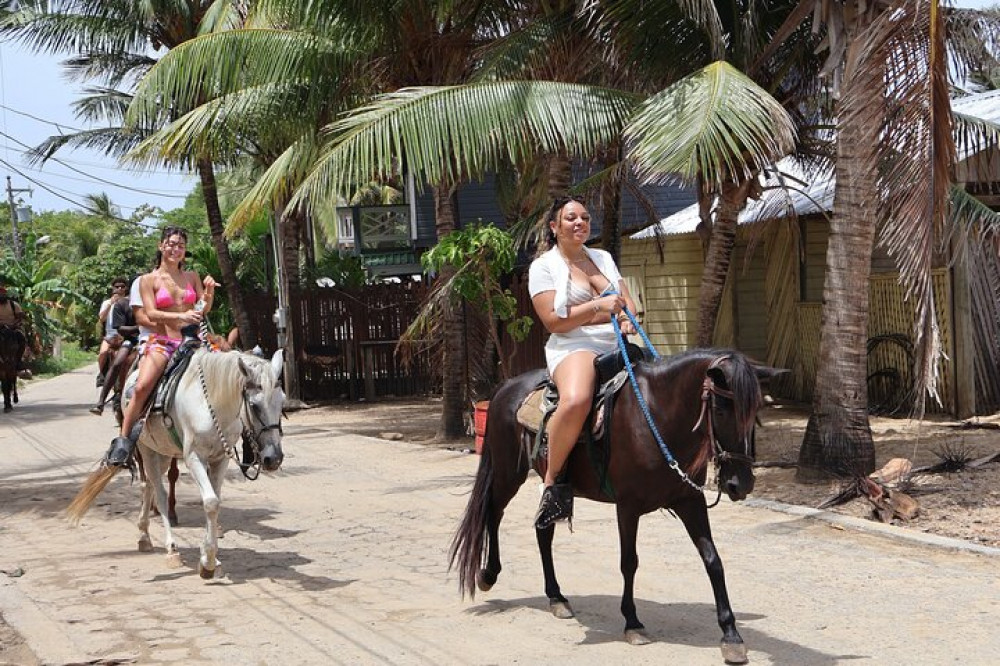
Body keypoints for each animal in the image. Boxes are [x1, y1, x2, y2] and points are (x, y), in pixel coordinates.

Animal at [69, 348, 286, 576]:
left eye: (282, 402)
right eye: (254, 405)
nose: (274, 458)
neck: (212, 405)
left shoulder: (220, 459)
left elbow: (215, 501)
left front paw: (210, 557)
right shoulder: (193, 458)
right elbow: (210, 502)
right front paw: (208, 562)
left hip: (163, 454)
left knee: (150, 486)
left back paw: (145, 536)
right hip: (146, 449)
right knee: (159, 493)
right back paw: (170, 549)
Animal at [450, 344, 768, 660]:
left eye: (755, 413)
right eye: (721, 410)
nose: (740, 484)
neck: (657, 415)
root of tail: (505, 387)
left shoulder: (690, 500)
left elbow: (713, 560)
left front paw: (731, 634)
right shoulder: (628, 506)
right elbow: (629, 562)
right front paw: (632, 622)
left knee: (543, 532)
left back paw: (557, 597)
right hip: (508, 473)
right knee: (493, 512)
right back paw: (489, 574)